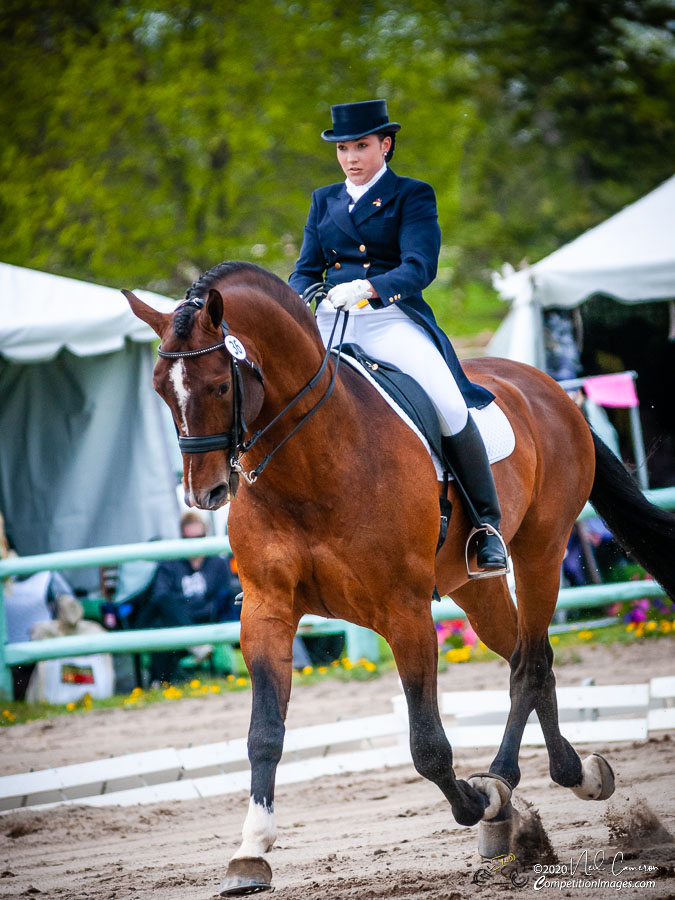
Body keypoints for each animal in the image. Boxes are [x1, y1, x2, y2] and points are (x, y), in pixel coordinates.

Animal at [123, 260, 675, 892]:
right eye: (160, 388)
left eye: (219, 384)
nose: (204, 493)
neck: (309, 460)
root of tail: (549, 388)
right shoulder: (266, 610)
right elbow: (264, 734)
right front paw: (250, 853)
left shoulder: (403, 610)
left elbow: (428, 746)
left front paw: (477, 800)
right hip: (475, 587)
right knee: (527, 656)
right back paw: (559, 778)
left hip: (541, 551)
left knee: (530, 663)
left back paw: (506, 784)